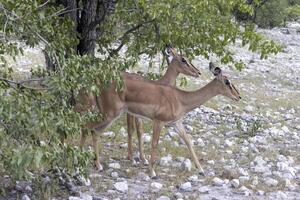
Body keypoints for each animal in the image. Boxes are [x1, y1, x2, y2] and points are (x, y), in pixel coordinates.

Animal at [80, 61, 241, 177]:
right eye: (227, 82)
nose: (238, 96)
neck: (180, 99)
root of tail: (98, 85)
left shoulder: (176, 123)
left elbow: (188, 142)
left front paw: (201, 170)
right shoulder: (158, 122)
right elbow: (154, 143)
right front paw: (152, 173)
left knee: (93, 131)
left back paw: (98, 165)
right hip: (109, 114)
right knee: (86, 126)